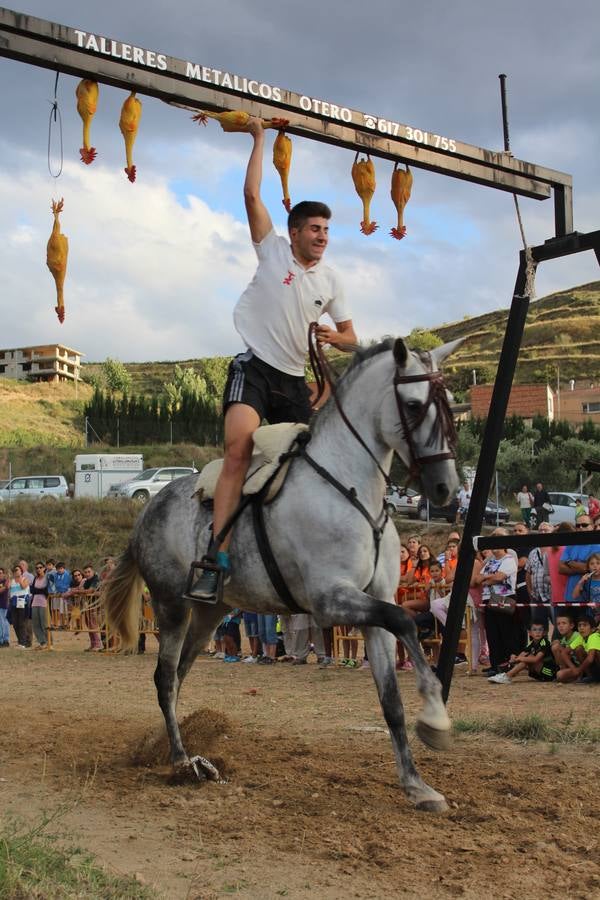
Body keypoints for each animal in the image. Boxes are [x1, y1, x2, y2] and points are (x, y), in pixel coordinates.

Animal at [104, 340, 460, 816]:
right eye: (415, 405)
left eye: (450, 403)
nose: (445, 490)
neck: (349, 489)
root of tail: (146, 512)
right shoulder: (331, 601)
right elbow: (405, 620)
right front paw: (436, 717)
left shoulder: (373, 604)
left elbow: (391, 700)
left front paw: (417, 785)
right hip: (171, 606)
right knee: (165, 679)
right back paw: (181, 761)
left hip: (209, 614)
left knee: (178, 676)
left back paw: (173, 749)